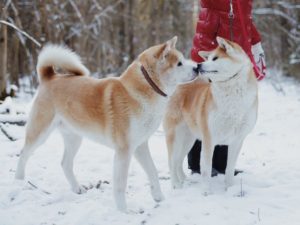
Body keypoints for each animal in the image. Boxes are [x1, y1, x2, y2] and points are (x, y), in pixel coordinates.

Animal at [15, 37, 199, 211]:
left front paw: (159, 197)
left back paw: (77, 188)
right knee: (23, 154)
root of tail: (50, 76)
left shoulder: (140, 146)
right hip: (40, 132)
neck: (143, 90)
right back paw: (20, 181)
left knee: (65, 163)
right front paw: (123, 210)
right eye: (179, 63)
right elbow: (120, 184)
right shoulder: (124, 151)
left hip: (74, 138)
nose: (197, 68)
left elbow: (152, 171)